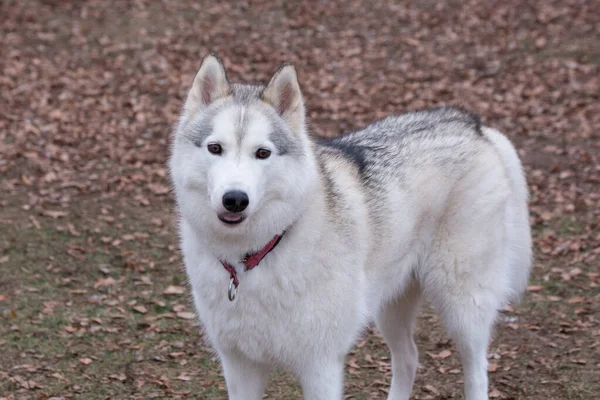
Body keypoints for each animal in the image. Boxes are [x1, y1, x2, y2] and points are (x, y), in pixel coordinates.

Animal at [168, 54, 528, 400]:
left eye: (262, 153)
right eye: (215, 148)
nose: (235, 199)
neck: (255, 257)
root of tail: (473, 124)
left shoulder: (321, 367)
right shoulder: (240, 366)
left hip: (462, 309)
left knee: (477, 371)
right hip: (390, 308)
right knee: (409, 358)